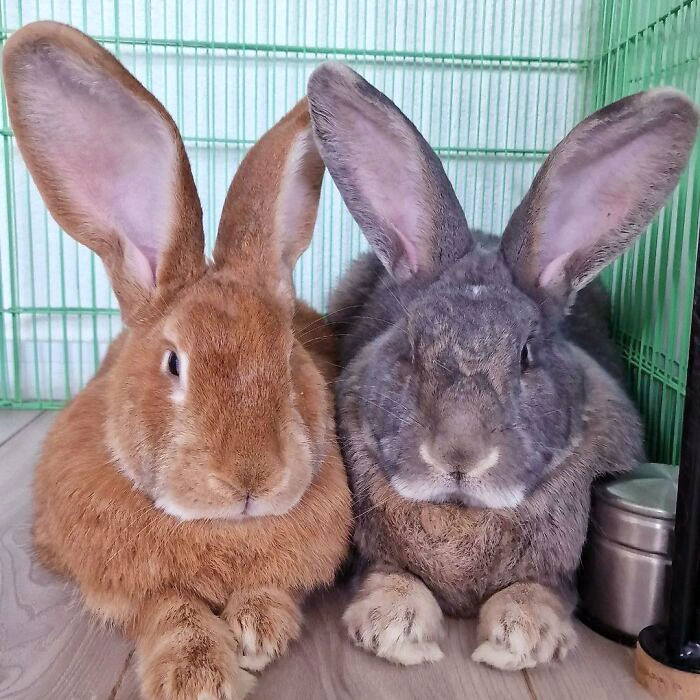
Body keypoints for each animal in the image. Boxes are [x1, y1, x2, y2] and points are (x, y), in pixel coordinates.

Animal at [3, 22, 352, 700]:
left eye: (288, 356)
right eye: (173, 363)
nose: (251, 481)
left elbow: (277, 587)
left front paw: (259, 629)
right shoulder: (121, 583)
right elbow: (168, 607)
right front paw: (199, 676)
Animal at [307, 62, 697, 671]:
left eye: (526, 353)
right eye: (410, 345)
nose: (458, 454)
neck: (463, 511)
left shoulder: (562, 572)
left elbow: (538, 591)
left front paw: (522, 639)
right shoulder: (371, 558)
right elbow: (389, 577)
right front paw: (394, 628)